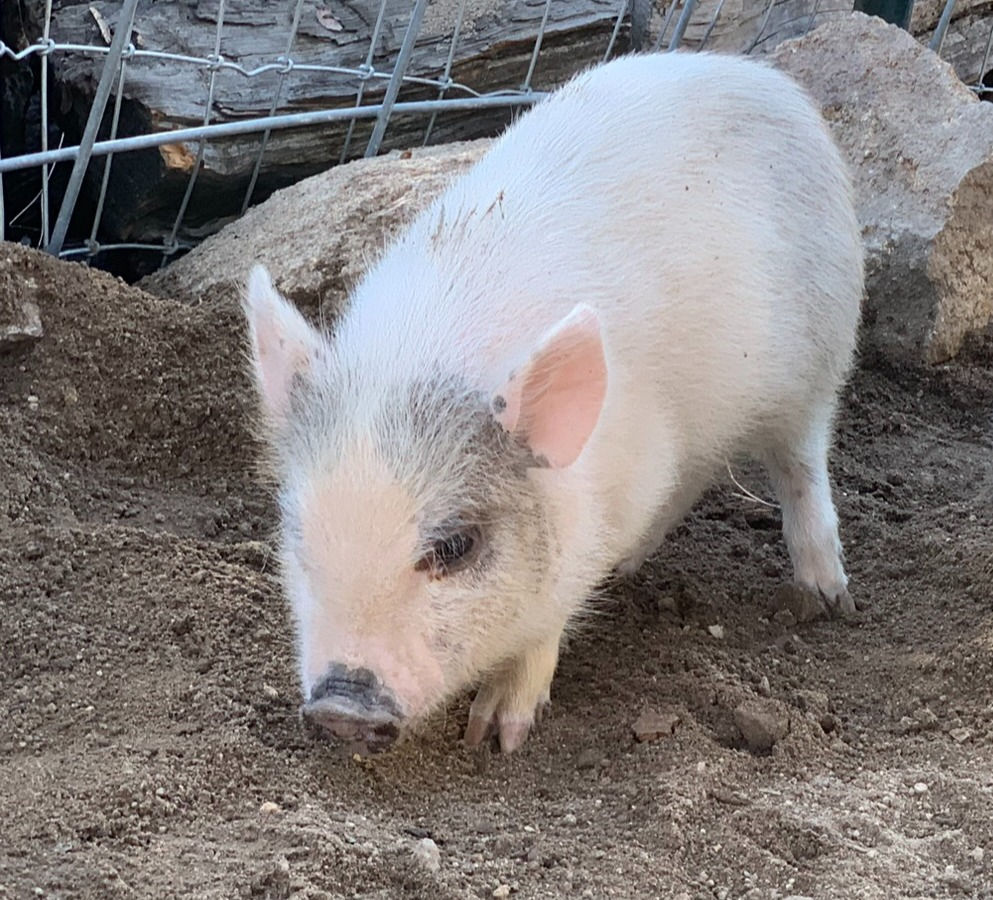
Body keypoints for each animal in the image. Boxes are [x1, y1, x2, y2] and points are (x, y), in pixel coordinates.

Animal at [243, 51, 863, 755]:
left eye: (454, 547)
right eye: (299, 533)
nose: (339, 707)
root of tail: (767, 77)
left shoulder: (618, 496)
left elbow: (549, 620)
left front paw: (497, 738)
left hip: (819, 356)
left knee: (801, 465)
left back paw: (825, 598)